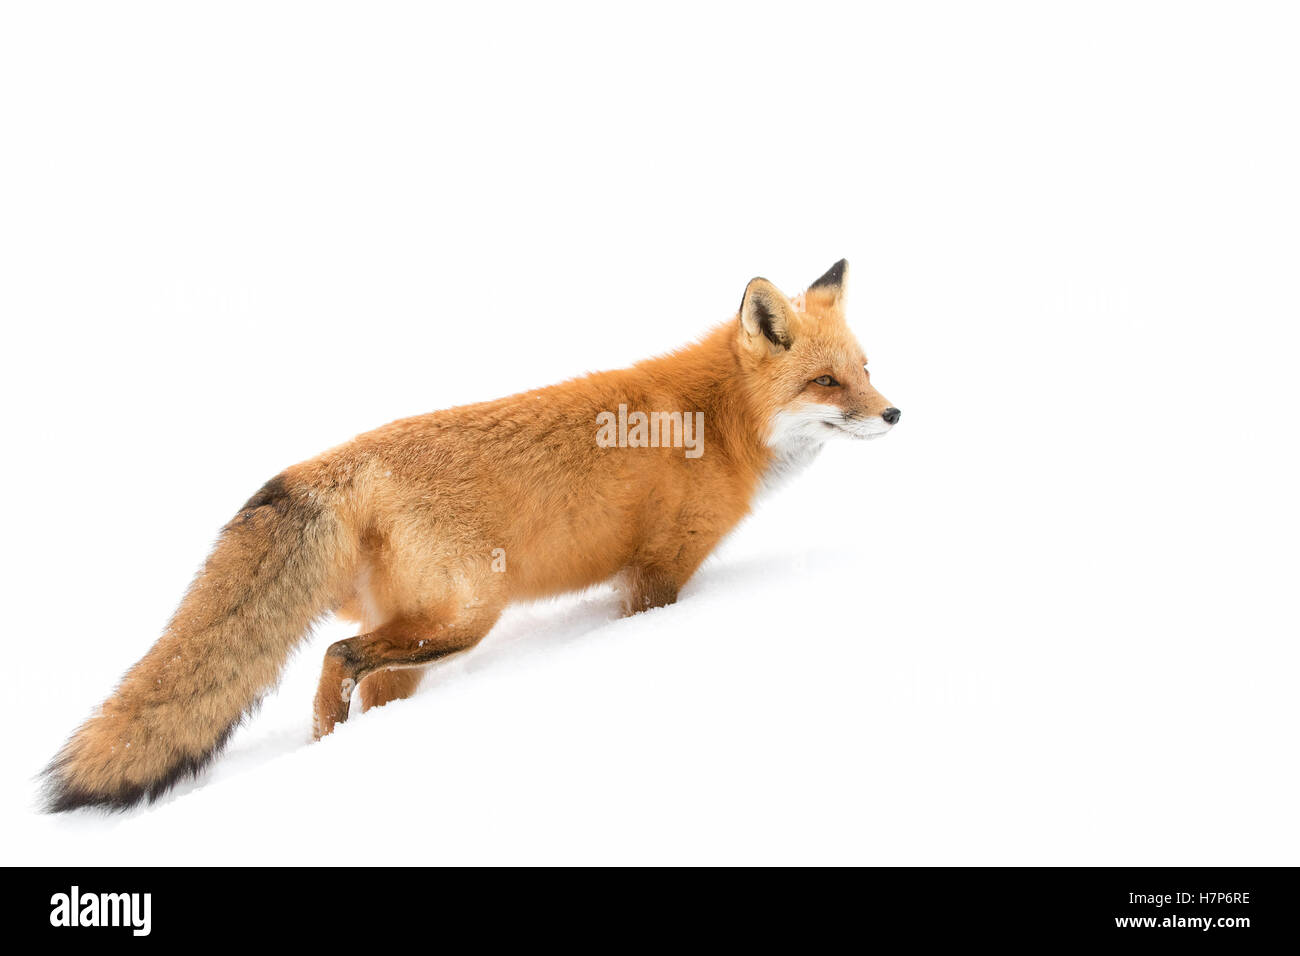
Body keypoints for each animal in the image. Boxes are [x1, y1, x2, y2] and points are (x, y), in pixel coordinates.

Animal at [40, 261, 894, 816]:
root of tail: (340, 462)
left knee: (358, 681)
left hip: (419, 643)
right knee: (336, 655)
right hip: (466, 617)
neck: (713, 423)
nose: (894, 413)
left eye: (866, 369)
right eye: (827, 383)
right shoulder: (657, 573)